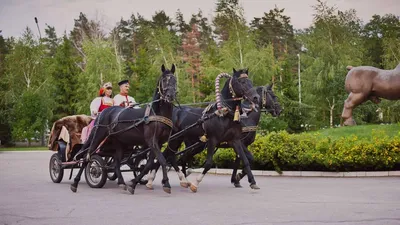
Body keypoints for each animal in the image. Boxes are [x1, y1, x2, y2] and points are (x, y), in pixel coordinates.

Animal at [69, 64, 177, 194]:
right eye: (164, 80)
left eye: (174, 80)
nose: (170, 96)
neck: (156, 113)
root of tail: (103, 113)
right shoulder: (152, 141)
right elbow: (162, 161)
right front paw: (166, 184)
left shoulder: (158, 143)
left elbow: (149, 164)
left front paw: (133, 183)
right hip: (98, 136)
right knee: (87, 156)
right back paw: (75, 183)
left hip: (119, 143)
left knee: (116, 163)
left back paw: (121, 182)